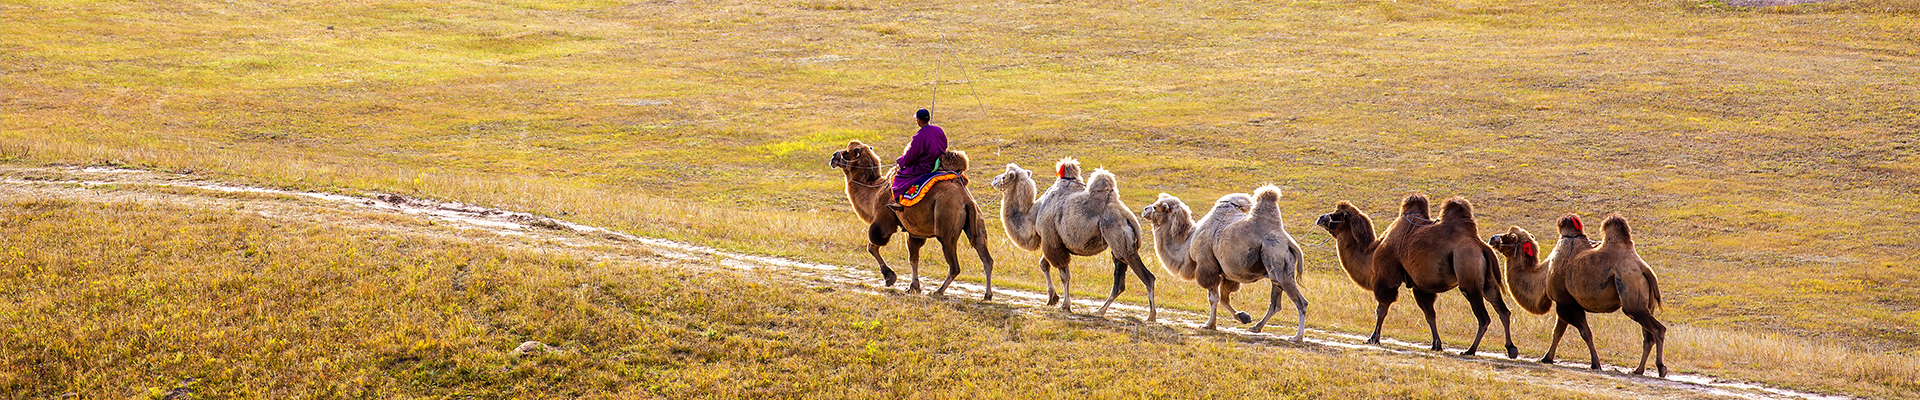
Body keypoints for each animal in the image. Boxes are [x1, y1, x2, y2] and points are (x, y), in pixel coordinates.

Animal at [825, 140, 998, 300]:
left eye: (847, 152)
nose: (833, 156)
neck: (875, 192)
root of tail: (966, 199)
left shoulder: (884, 220)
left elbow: (872, 246)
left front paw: (890, 277)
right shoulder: (914, 231)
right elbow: (913, 258)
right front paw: (913, 286)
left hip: (946, 226)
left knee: (954, 265)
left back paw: (938, 291)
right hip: (977, 224)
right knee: (986, 258)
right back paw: (987, 295)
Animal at [990, 160, 1152, 321]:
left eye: (1005, 176)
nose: (994, 179)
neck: (1033, 214)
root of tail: (1128, 216)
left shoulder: (1050, 239)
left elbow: (1064, 275)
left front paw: (1065, 305)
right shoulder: (1054, 241)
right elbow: (1044, 264)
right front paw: (1053, 298)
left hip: (1120, 240)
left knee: (1147, 277)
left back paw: (1150, 316)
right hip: (1118, 245)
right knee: (1120, 281)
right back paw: (1100, 310)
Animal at [1136, 187, 1305, 340]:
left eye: (1156, 206)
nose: (1144, 209)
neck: (1188, 243)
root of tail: (1289, 242)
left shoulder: (1206, 266)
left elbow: (1213, 298)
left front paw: (1208, 325)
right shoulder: (1226, 273)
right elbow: (1224, 298)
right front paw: (1243, 317)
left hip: (1277, 261)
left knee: (1301, 302)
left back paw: (1297, 337)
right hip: (1275, 271)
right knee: (1275, 304)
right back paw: (1256, 327)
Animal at [1313, 195, 1520, 357]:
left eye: (1336, 215)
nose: (1320, 217)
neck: (1371, 254)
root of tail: (1482, 247)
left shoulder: (1386, 279)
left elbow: (1381, 309)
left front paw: (1373, 338)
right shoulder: (1421, 286)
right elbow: (1430, 314)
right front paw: (1436, 344)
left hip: (1468, 279)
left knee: (1484, 317)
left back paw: (1470, 350)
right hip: (1488, 283)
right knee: (1503, 311)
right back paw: (1511, 349)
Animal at [1482, 214, 1666, 376]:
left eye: (1511, 236)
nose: (1493, 238)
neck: (1544, 275)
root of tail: (1644, 269)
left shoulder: (1566, 303)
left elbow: (1585, 333)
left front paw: (1596, 363)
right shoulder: (1564, 303)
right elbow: (1557, 332)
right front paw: (1547, 358)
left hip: (1631, 293)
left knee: (1658, 329)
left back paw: (1661, 368)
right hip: (1645, 304)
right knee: (1647, 337)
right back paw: (1638, 370)